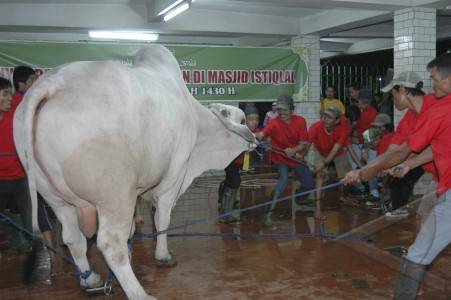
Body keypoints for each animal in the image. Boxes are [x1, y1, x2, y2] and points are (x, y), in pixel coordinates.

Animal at [13, 45, 258, 300]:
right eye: (243, 119)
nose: (256, 140)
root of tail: (50, 83)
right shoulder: (175, 175)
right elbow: (162, 218)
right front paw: (163, 256)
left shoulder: (138, 191)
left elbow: (132, 228)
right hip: (115, 195)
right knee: (110, 243)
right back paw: (139, 293)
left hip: (54, 197)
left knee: (73, 238)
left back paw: (91, 280)